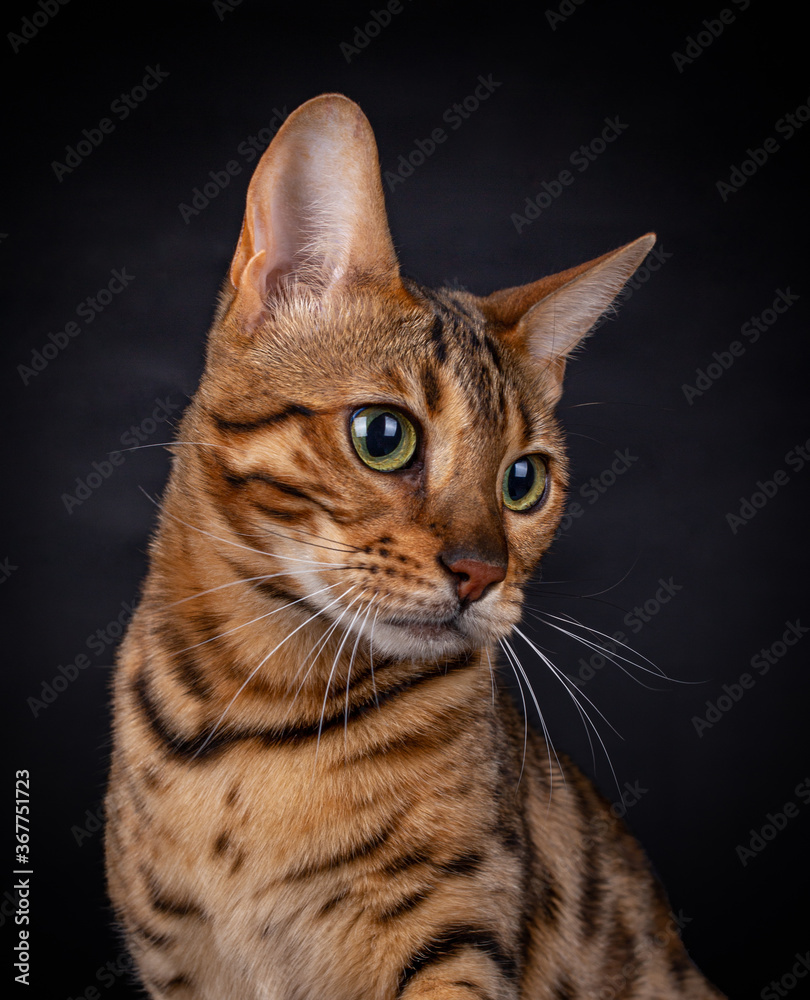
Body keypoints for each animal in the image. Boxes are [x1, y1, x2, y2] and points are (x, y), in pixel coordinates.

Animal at [104, 94, 724, 1000]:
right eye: (384, 436)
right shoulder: (180, 967)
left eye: (524, 481)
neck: (259, 711)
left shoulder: (454, 935)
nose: (482, 572)